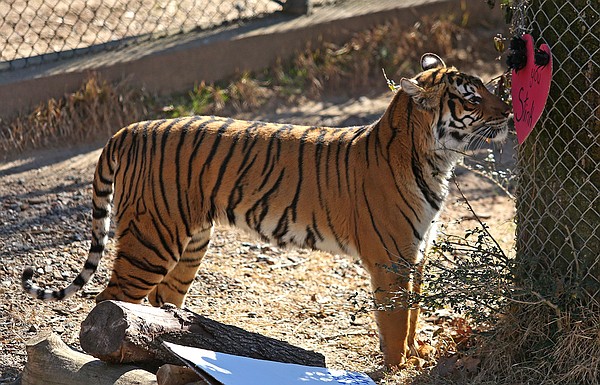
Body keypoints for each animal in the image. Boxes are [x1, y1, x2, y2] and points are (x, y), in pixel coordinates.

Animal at [23, 52, 510, 364]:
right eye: (471, 96)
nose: (507, 111)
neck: (436, 160)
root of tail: (130, 129)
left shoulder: (417, 254)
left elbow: (412, 315)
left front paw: (416, 354)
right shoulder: (390, 259)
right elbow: (393, 319)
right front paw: (398, 367)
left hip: (190, 242)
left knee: (160, 303)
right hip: (151, 240)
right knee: (110, 299)